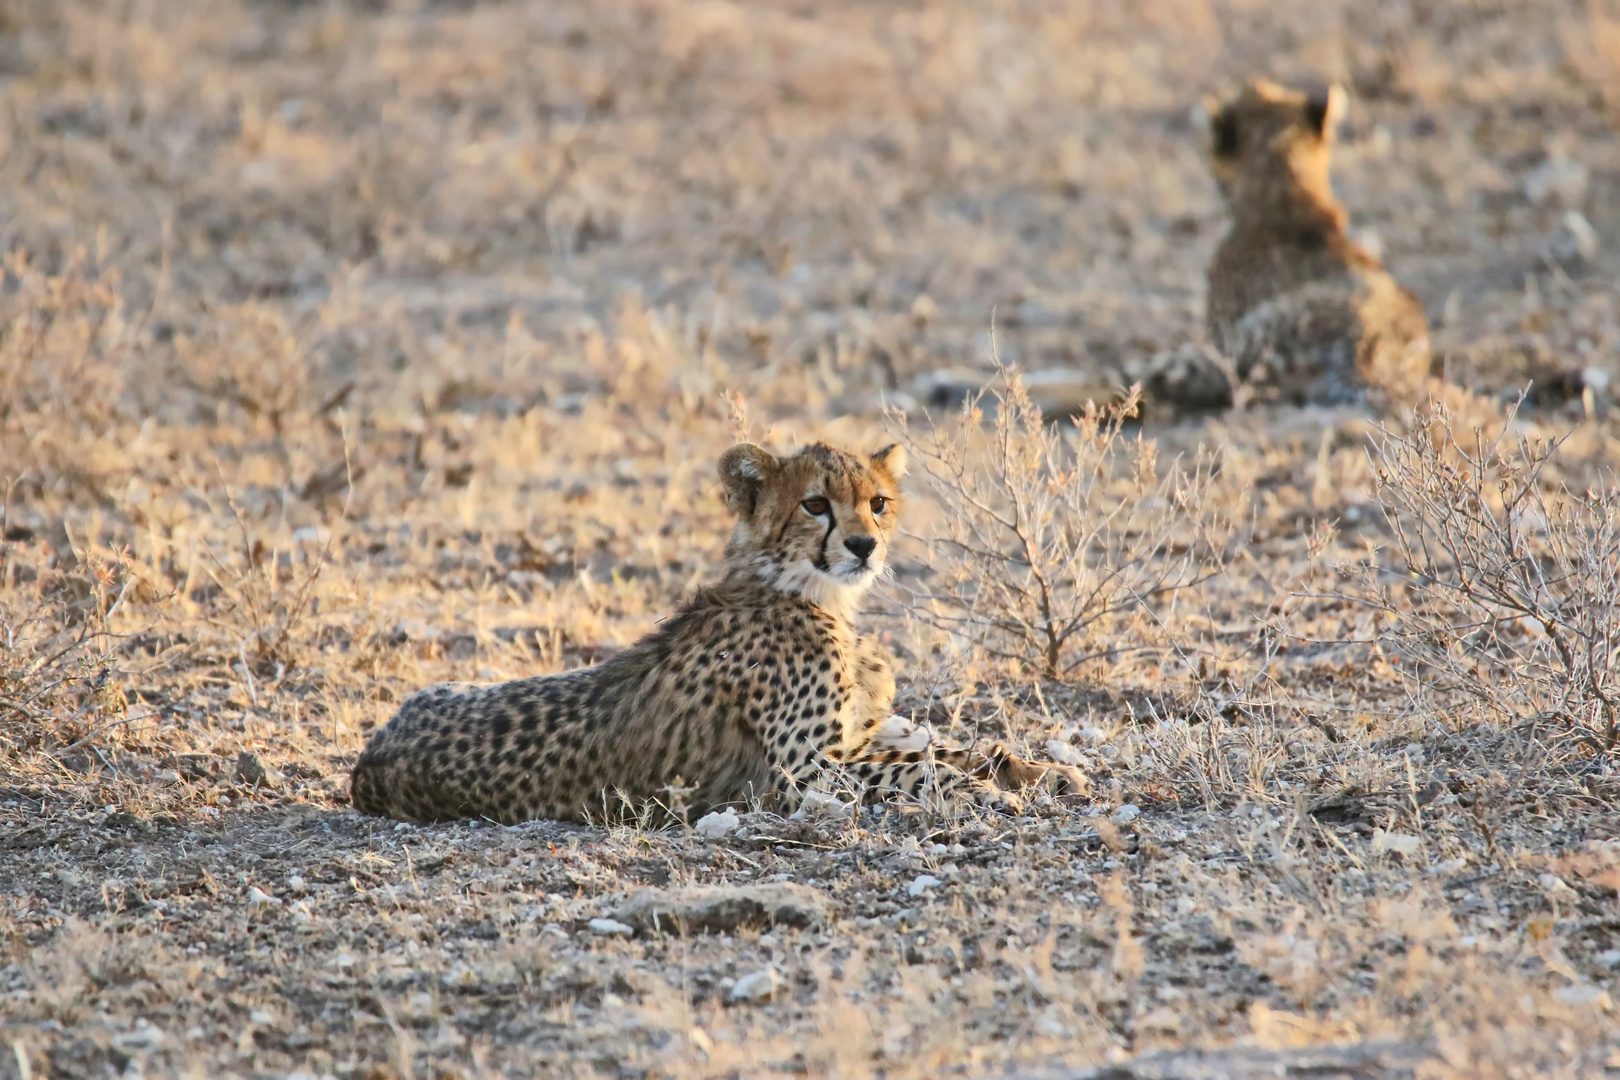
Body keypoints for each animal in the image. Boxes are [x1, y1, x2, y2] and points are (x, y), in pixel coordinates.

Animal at [354, 443, 1088, 822]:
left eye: (878, 502)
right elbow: (918, 771)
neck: (803, 591)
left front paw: (1041, 771)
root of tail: (367, 763)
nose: (863, 546)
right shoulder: (801, 775)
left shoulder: (848, 745)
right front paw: (986, 789)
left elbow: (957, 749)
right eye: (815, 504)